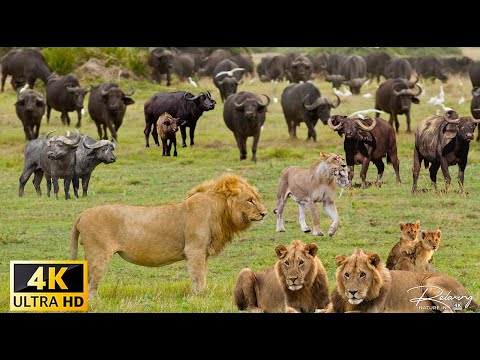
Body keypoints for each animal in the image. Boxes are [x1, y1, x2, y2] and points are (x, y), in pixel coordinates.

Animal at [70, 173, 268, 300]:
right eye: (250, 200)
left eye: (257, 198)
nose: (264, 213)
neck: (220, 210)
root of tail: (82, 214)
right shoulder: (194, 250)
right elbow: (198, 277)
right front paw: (198, 299)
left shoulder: (203, 253)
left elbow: (202, 276)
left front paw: (201, 296)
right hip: (98, 254)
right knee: (92, 284)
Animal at [324, 248, 478, 312]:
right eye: (347, 274)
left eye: (362, 274)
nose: (352, 292)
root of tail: (467, 293)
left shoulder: (372, 311)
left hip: (430, 284)